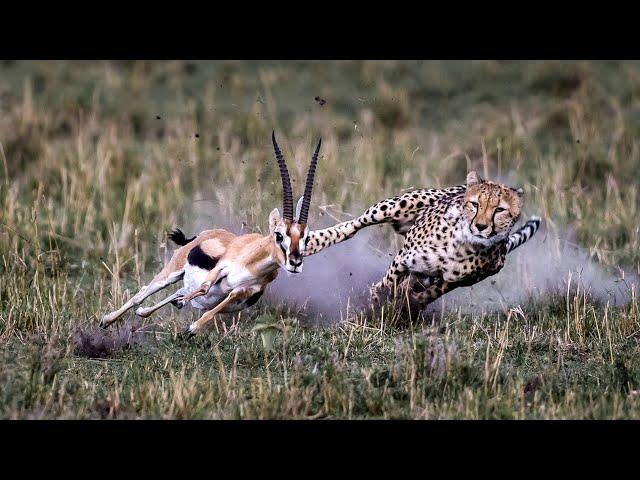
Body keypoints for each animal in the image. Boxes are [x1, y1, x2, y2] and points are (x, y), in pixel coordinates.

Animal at [304, 172, 540, 312]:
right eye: (475, 204)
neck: (463, 245)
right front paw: (377, 305)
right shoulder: (404, 259)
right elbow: (387, 285)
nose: (481, 226)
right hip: (395, 206)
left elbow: (428, 292)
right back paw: (310, 243)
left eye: (499, 210)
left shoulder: (452, 279)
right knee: (354, 226)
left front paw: (403, 307)